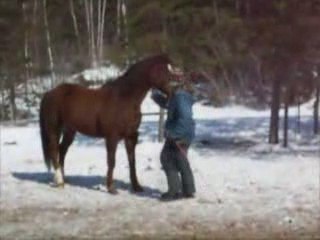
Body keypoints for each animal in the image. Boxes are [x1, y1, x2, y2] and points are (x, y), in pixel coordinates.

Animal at [39, 54, 181, 193]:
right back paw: (59, 181)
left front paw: (136, 187)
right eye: (164, 70)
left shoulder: (131, 136)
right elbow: (111, 161)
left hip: (70, 131)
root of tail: (49, 93)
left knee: (62, 150)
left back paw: (64, 179)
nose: (175, 91)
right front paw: (111, 188)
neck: (125, 98)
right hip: (54, 128)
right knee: (54, 150)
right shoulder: (112, 137)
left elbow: (132, 161)